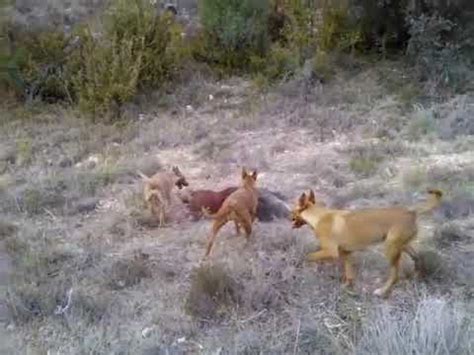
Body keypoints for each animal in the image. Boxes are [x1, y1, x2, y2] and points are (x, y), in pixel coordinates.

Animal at [290, 188, 442, 298]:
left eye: (293, 210)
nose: (288, 217)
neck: (319, 216)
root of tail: (411, 211)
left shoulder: (330, 252)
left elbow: (308, 256)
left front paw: (300, 265)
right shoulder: (346, 253)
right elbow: (349, 273)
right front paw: (347, 286)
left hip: (390, 248)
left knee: (395, 275)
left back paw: (382, 291)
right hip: (402, 245)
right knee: (417, 258)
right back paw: (417, 277)